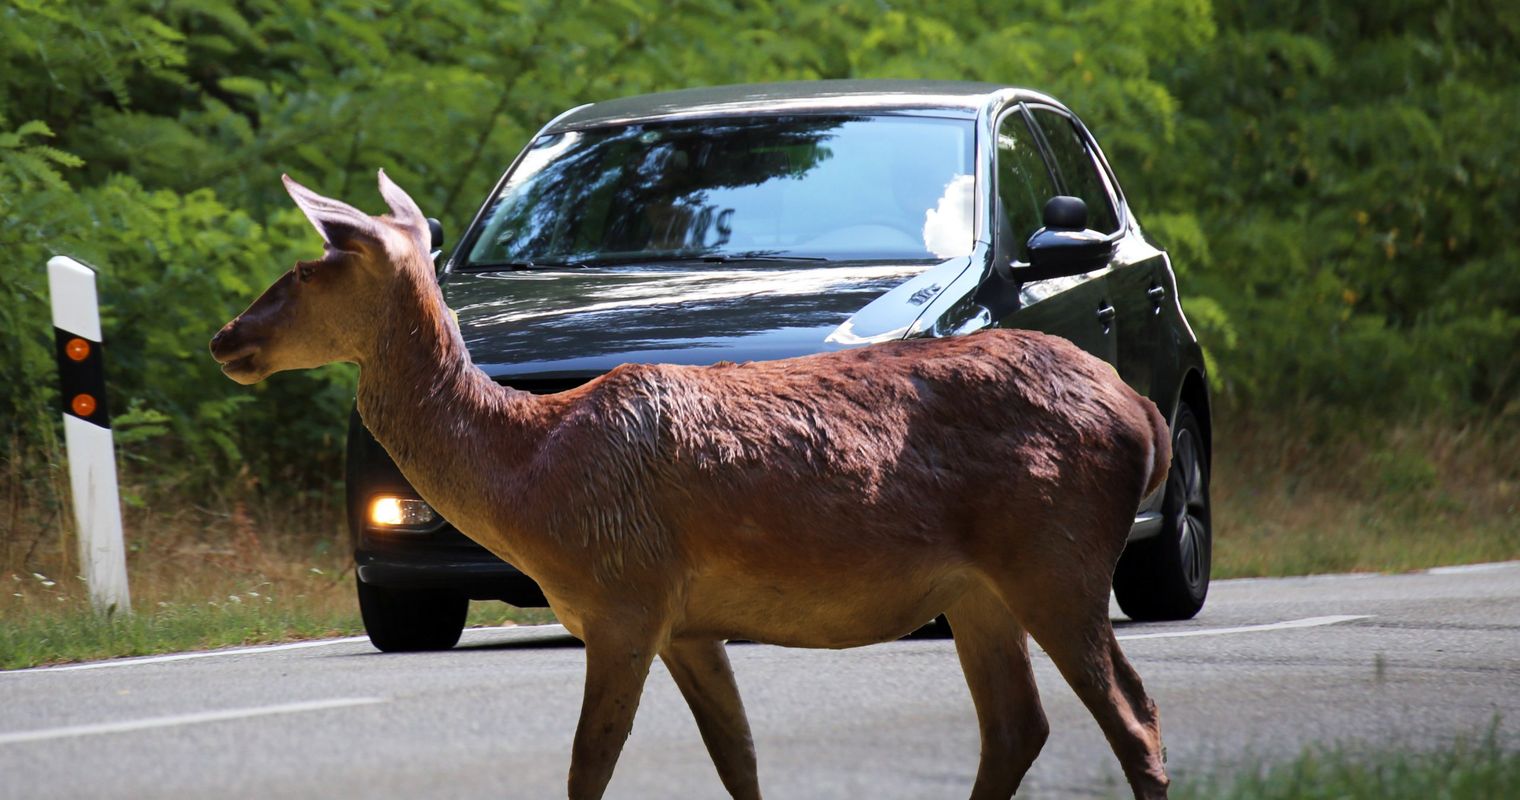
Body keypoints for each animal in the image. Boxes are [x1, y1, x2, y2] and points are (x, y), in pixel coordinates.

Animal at [208, 174, 1167, 800]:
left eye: (309, 269)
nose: (225, 337)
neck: (531, 477)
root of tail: (1142, 413)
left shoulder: (623, 595)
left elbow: (588, 765)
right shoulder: (688, 621)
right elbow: (738, 758)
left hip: (1056, 553)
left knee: (1133, 717)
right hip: (979, 591)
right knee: (1018, 728)